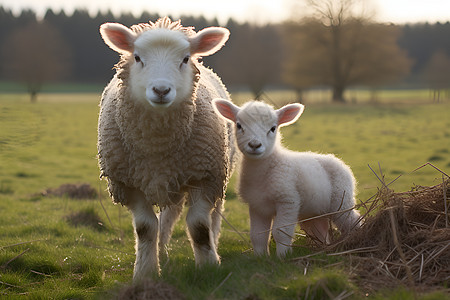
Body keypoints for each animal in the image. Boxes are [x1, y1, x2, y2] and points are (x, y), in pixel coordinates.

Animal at [96, 18, 234, 282]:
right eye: (137, 57)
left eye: (185, 59)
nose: (161, 90)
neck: (158, 147)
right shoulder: (128, 182)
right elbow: (146, 228)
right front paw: (145, 272)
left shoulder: (205, 176)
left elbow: (199, 227)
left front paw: (209, 267)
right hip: (172, 183)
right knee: (167, 218)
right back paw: (162, 253)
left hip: (218, 173)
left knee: (213, 217)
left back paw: (214, 242)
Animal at [212, 99, 362, 256]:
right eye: (239, 125)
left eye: (273, 128)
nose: (254, 145)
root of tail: (339, 161)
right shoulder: (257, 206)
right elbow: (257, 235)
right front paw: (260, 257)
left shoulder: (287, 200)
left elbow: (281, 232)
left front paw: (283, 256)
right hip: (315, 210)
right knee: (320, 230)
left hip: (341, 200)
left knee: (352, 220)